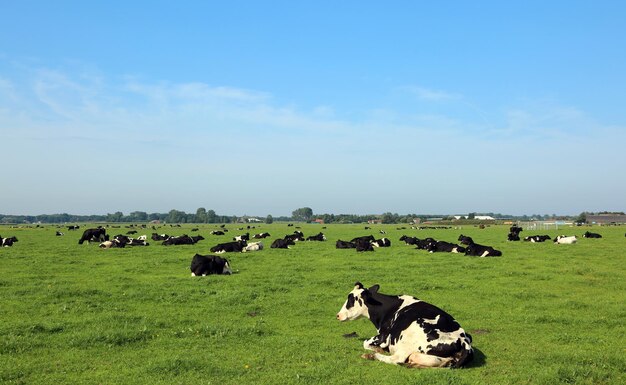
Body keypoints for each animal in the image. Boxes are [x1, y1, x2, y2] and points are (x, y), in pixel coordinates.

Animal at [336, 282, 472, 366]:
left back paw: (373, 355)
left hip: (410, 338)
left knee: (397, 359)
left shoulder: (383, 337)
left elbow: (365, 343)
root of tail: (463, 340)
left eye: (351, 300)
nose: (338, 315)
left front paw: (378, 349)